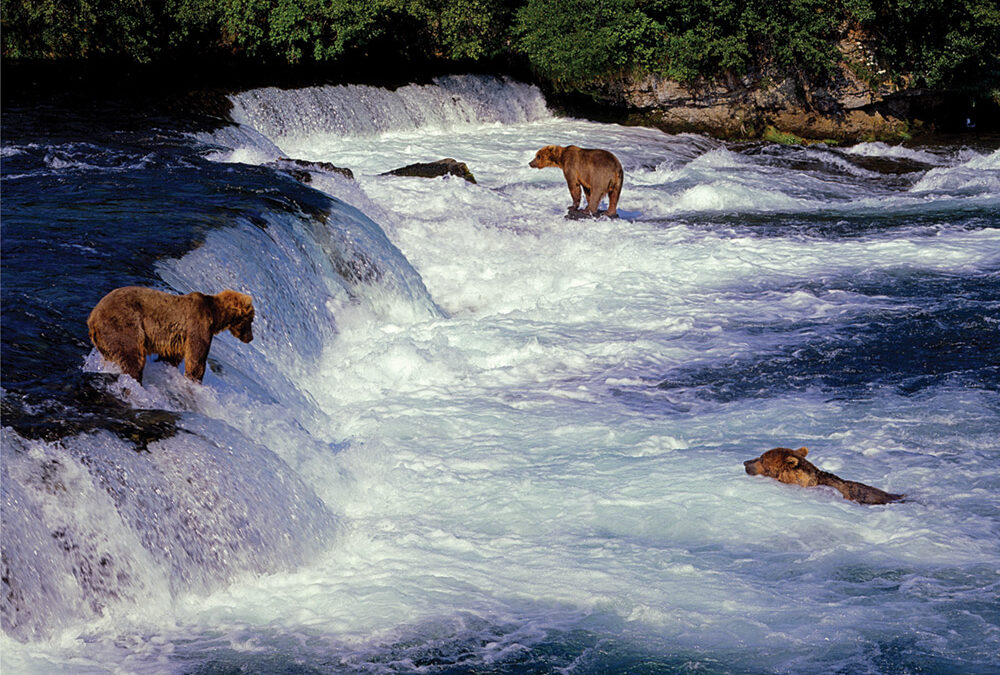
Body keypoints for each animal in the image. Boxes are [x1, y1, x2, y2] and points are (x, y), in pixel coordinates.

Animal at [87, 286, 255, 384]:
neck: (216, 316)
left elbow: (171, 357)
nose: (250, 338)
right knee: (132, 355)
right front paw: (195, 379)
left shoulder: (177, 341)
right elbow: (196, 359)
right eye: (251, 320)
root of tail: (92, 318)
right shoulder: (198, 325)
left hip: (105, 340)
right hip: (123, 322)